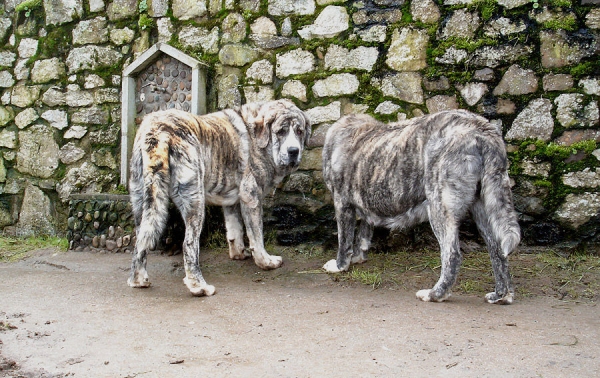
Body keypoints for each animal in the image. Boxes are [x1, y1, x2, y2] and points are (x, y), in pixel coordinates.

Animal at [128, 99, 312, 296]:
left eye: (299, 131)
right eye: (281, 132)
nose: (293, 151)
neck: (258, 139)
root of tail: (158, 131)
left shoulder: (232, 200)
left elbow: (234, 229)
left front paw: (239, 253)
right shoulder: (251, 196)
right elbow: (256, 234)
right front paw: (266, 262)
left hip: (142, 201)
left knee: (141, 240)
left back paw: (138, 280)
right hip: (195, 201)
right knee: (189, 244)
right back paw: (199, 286)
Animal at [324, 109, 520, 304]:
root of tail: (481, 130)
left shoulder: (342, 202)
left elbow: (344, 240)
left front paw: (340, 265)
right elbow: (363, 234)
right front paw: (358, 256)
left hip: (439, 206)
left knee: (452, 255)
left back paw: (435, 294)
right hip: (485, 208)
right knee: (498, 252)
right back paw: (502, 295)